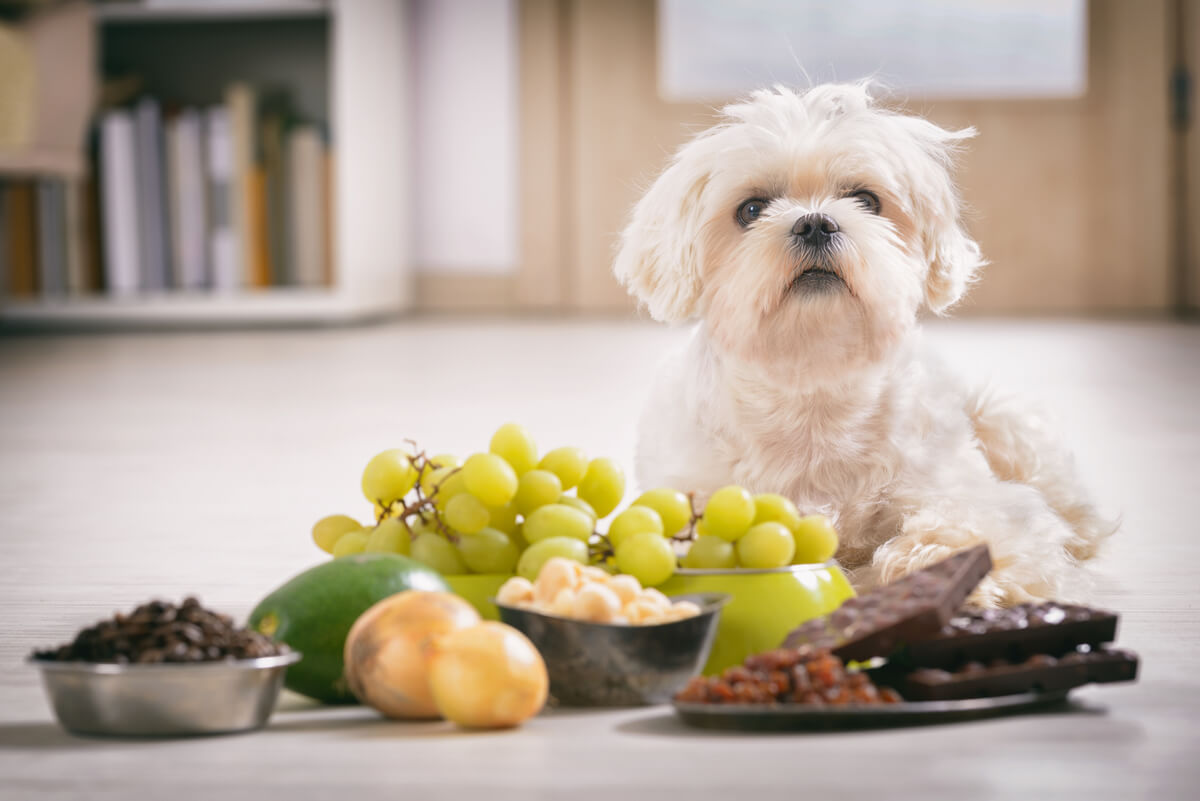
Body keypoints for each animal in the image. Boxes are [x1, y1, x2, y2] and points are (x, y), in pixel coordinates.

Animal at [619, 82, 1113, 606]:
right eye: (751, 209)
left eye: (866, 199)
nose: (815, 222)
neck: (814, 381)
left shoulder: (975, 497)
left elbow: (973, 528)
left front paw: (933, 565)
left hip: (1001, 421)